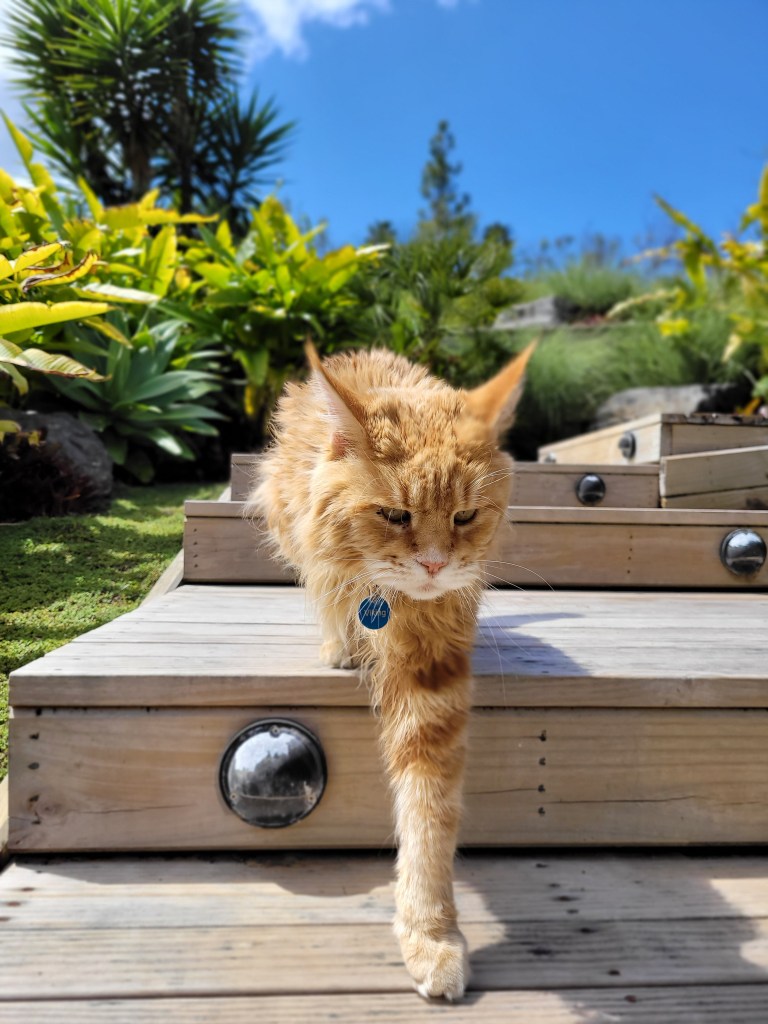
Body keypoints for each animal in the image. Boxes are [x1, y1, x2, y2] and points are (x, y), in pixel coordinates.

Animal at [249, 340, 535, 1000]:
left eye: (464, 517)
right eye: (395, 515)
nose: (433, 565)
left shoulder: (433, 671)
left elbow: (428, 810)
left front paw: (430, 933)